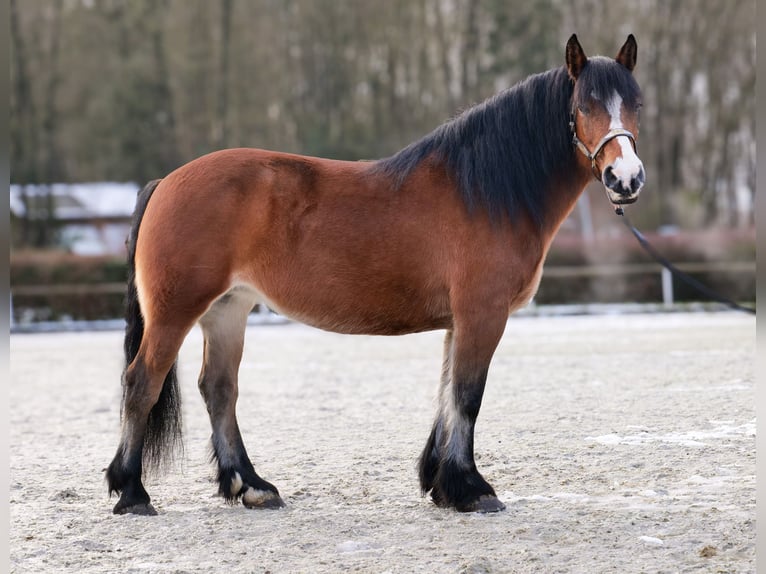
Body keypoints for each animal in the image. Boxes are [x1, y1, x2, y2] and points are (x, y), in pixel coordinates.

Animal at [106, 35, 648, 516]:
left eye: (637, 104)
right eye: (585, 105)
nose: (626, 179)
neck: (485, 191)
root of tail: (166, 181)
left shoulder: (459, 321)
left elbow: (447, 396)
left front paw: (443, 483)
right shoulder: (483, 314)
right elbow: (467, 396)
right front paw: (472, 490)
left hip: (227, 310)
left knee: (219, 390)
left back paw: (252, 486)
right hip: (176, 312)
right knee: (142, 383)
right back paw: (133, 493)